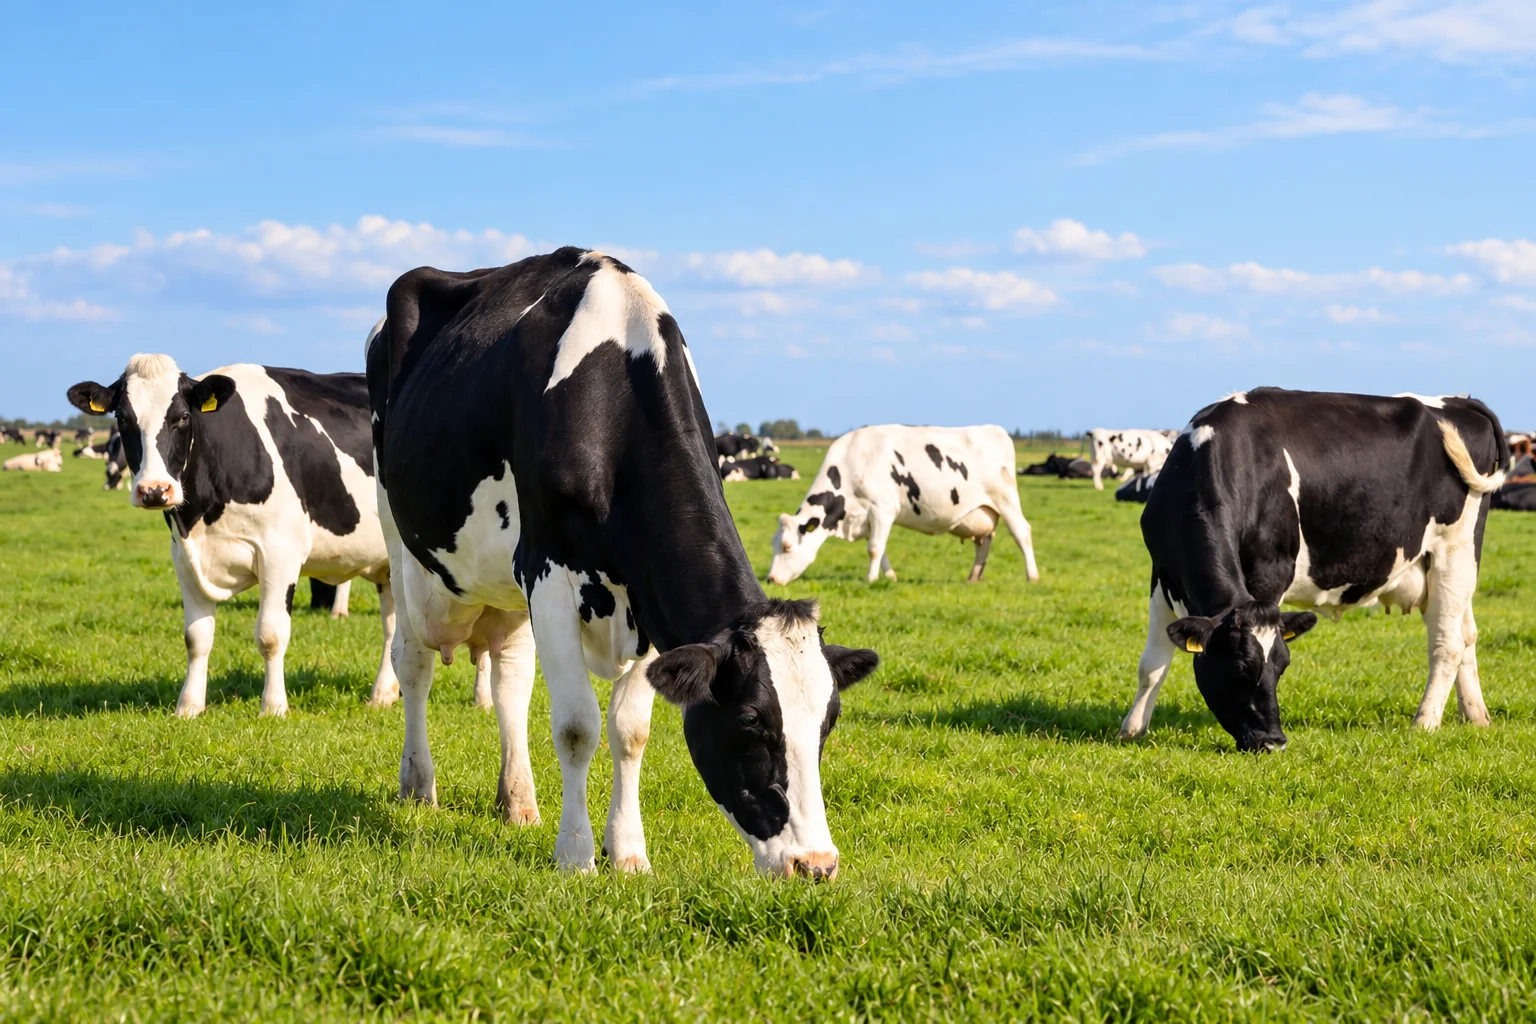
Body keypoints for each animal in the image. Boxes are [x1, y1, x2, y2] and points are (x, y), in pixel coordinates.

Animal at [67, 355, 400, 717]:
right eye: (123, 418)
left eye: (183, 417)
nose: (154, 490)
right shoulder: (184, 558)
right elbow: (196, 637)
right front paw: (189, 707)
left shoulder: (281, 552)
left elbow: (271, 634)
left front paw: (273, 707)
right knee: (393, 624)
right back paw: (384, 693)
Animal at [367, 248, 879, 878]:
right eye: (750, 721)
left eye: (829, 722)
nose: (816, 864)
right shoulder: (548, 576)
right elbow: (576, 726)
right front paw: (576, 855)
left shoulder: (649, 596)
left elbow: (630, 730)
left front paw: (629, 851)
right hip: (401, 539)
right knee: (413, 661)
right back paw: (419, 785)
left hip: (506, 584)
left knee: (510, 680)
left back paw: (518, 800)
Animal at [769, 425, 1040, 585]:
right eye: (774, 544)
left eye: (787, 546)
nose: (771, 579)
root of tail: (995, 430)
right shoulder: (869, 518)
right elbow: (880, 549)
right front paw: (889, 576)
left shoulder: (882, 508)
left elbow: (874, 548)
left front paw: (870, 579)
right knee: (984, 542)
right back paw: (973, 577)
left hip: (1006, 499)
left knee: (1022, 532)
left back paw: (1032, 576)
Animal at [1119, 388, 1508, 753]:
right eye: (1241, 668)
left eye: (1282, 666)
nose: (1273, 742)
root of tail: (1459, 401)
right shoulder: (1162, 576)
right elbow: (1152, 664)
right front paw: (1133, 729)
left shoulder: (1271, 570)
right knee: (1466, 635)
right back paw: (1475, 716)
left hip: (1455, 551)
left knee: (1448, 643)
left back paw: (1425, 721)